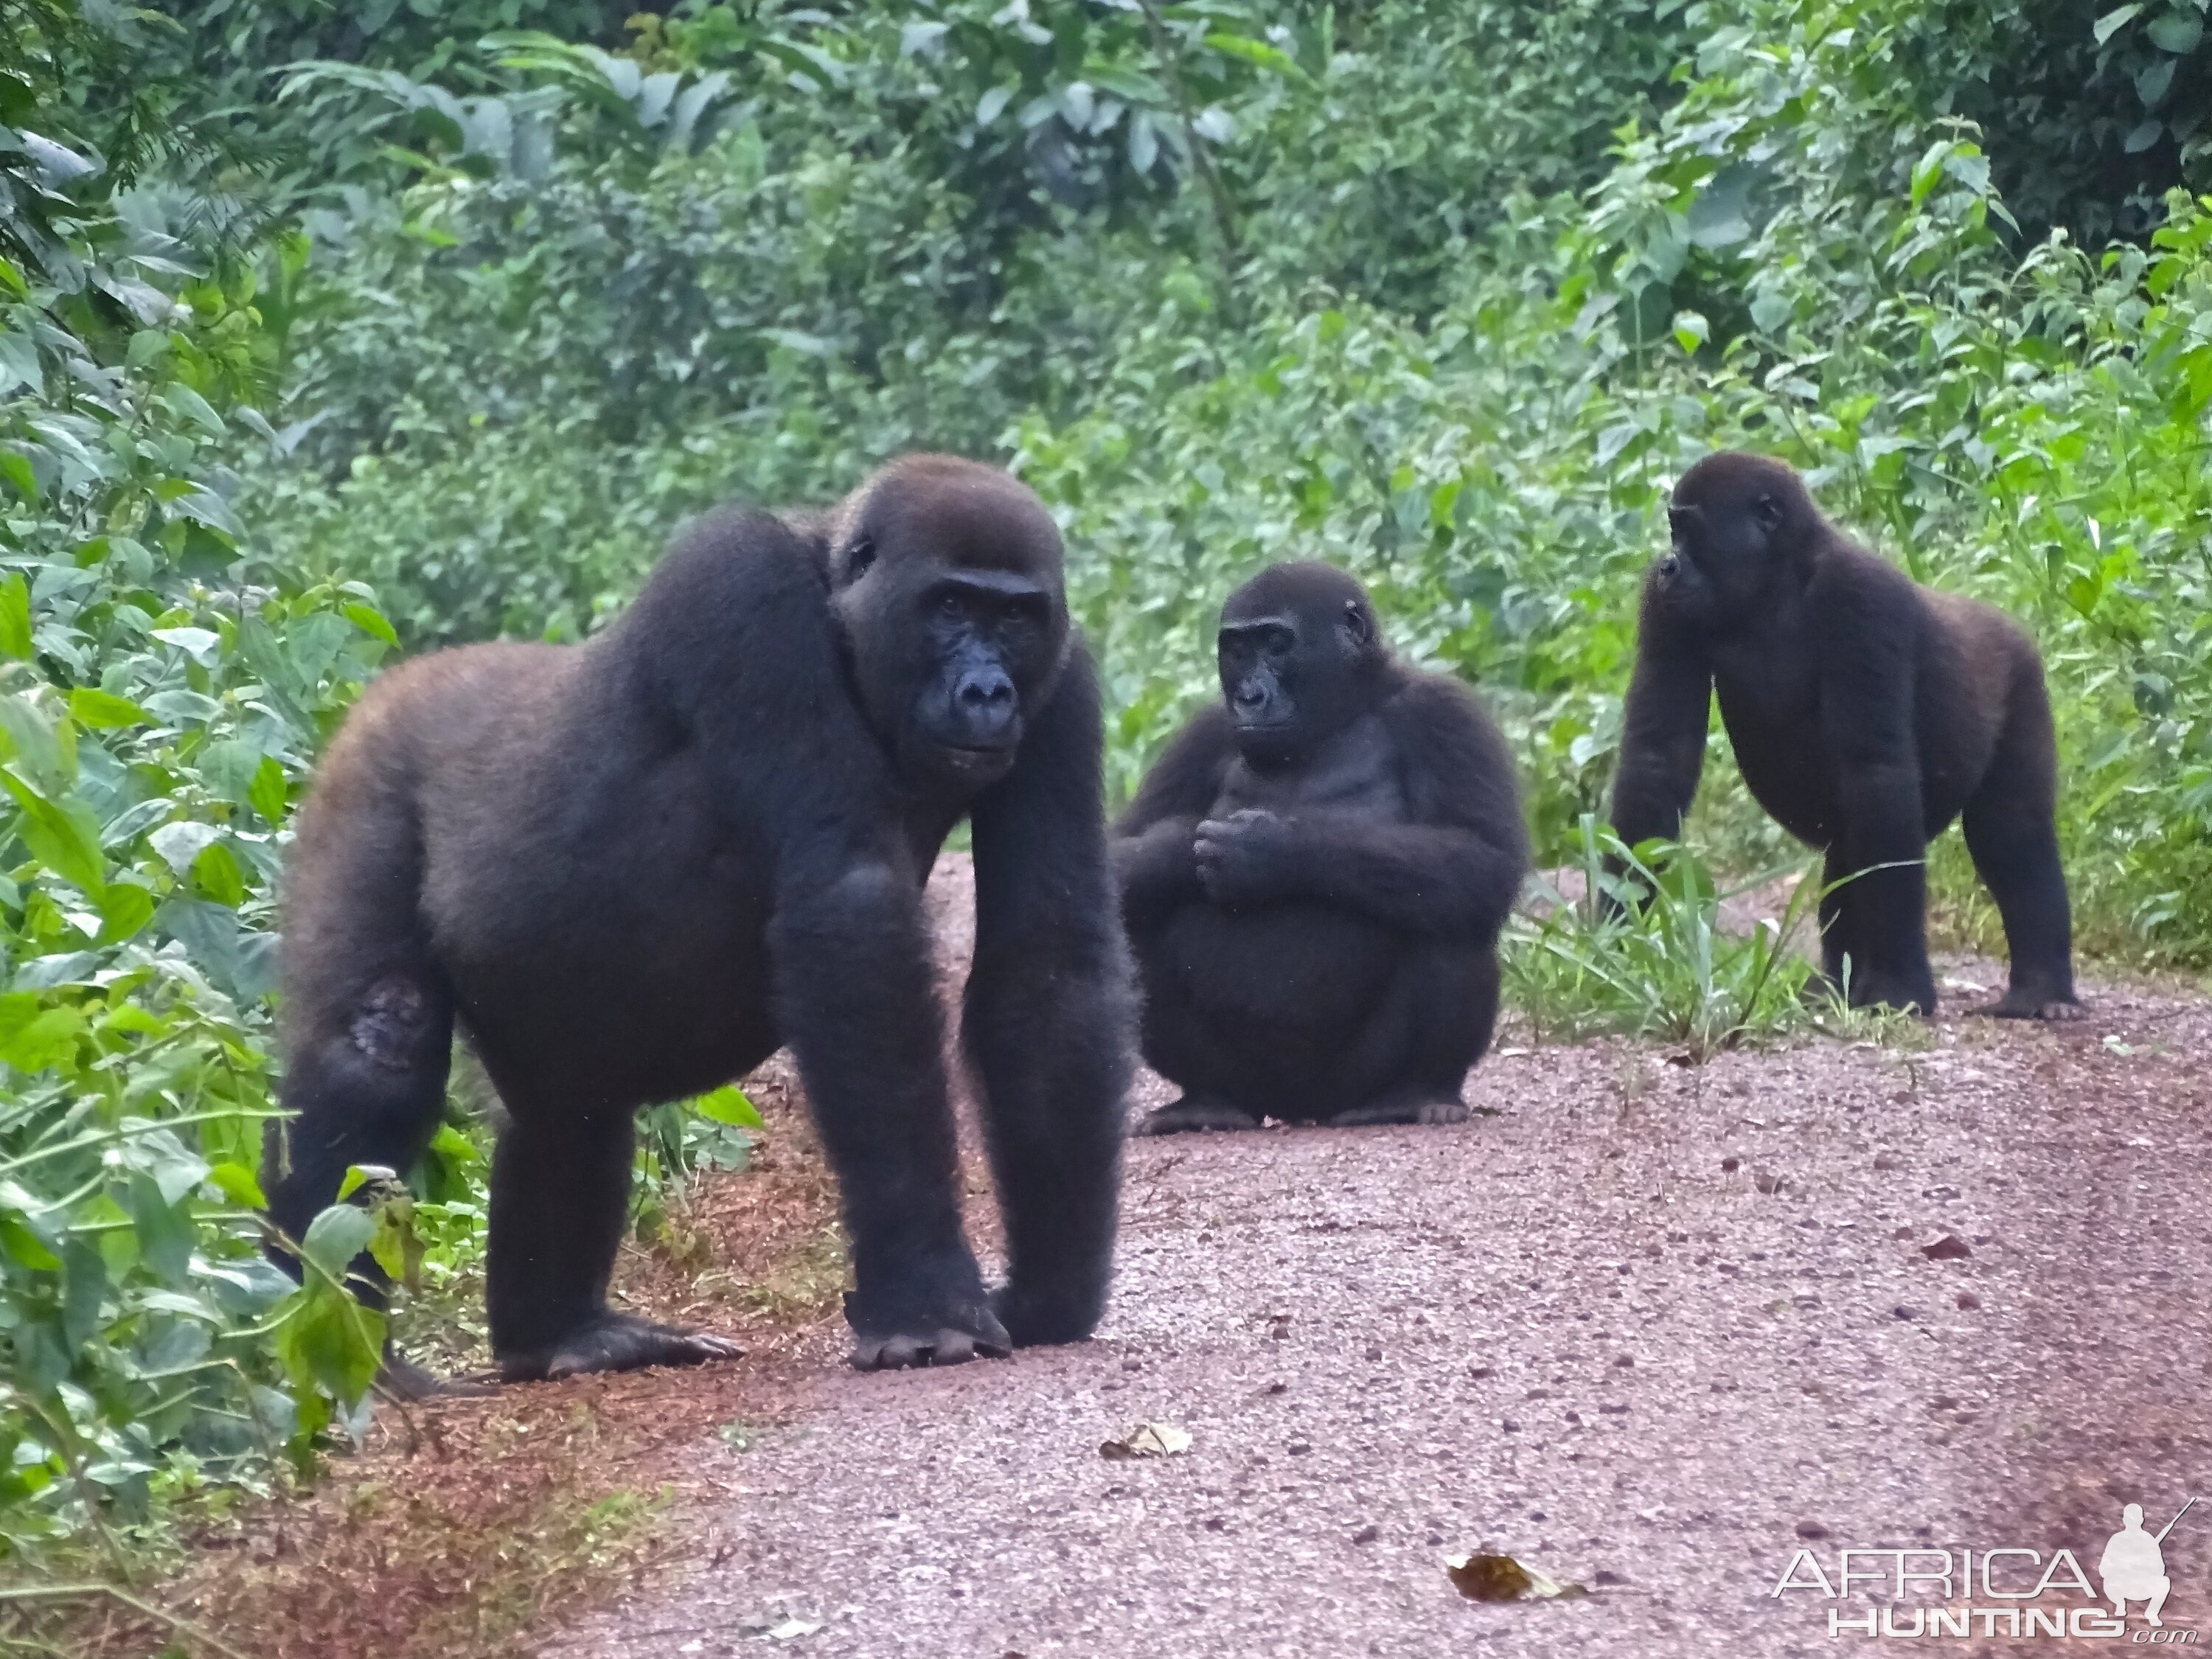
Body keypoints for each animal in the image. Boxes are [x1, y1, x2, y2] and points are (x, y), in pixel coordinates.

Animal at [272, 456, 1141, 1380]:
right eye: (948, 606)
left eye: (1013, 617)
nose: (986, 691)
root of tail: (397, 682)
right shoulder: (740, 586)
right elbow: (853, 907)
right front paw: (929, 1298)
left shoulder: (1063, 676)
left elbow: (1048, 960)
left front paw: (1049, 1294)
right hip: (367, 768)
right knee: (380, 1042)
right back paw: (336, 1345)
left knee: (566, 1105)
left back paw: (563, 1333)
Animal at [1115, 566, 1531, 1141]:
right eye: (1237, 650)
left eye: (1276, 643)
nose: (1249, 697)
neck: (1349, 705)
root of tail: (1298, 1110)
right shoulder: (1202, 732)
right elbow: (1112, 860)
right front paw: (1179, 846)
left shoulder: (1444, 711)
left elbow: (1483, 856)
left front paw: (1266, 850)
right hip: (1254, 1084)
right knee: (1137, 925)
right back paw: (1204, 1101)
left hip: (1350, 1082)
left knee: (1451, 909)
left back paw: (1415, 1093)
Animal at [1610, 456, 2070, 1026]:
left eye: (1689, 531)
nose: (1668, 566)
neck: (1779, 580)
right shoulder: (1664, 607)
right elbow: (1658, 758)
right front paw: (1612, 935)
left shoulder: (1862, 598)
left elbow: (1877, 773)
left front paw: (1900, 987)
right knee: (1851, 850)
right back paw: (1836, 987)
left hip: (2023, 674)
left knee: (2011, 835)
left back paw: (2041, 988)